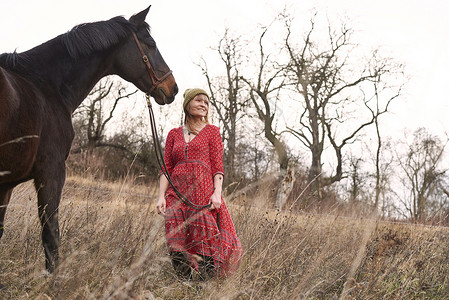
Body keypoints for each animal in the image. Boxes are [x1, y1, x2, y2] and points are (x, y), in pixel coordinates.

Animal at [0, 5, 178, 274]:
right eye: (151, 44)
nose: (173, 88)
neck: (47, 85)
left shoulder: (7, 183)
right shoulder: (51, 172)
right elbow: (51, 235)